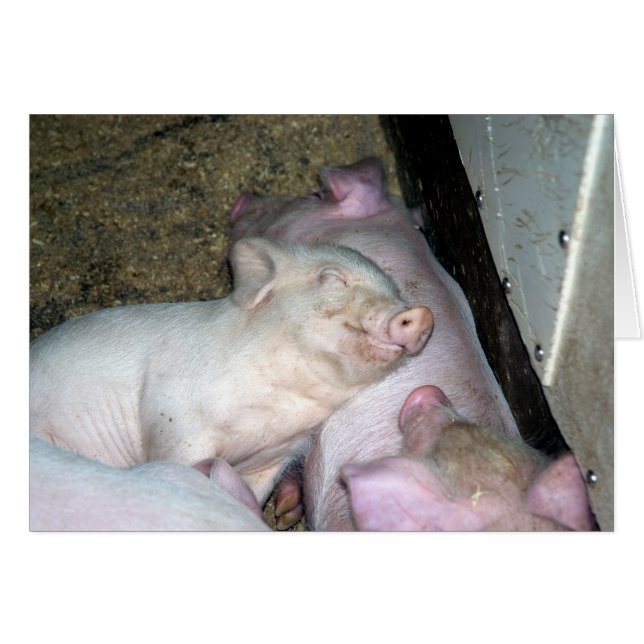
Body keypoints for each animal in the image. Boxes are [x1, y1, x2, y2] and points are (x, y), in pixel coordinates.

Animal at [30, 236, 433, 506]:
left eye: (395, 292)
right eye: (331, 278)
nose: (422, 314)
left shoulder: (271, 458)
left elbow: (250, 494)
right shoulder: (174, 425)